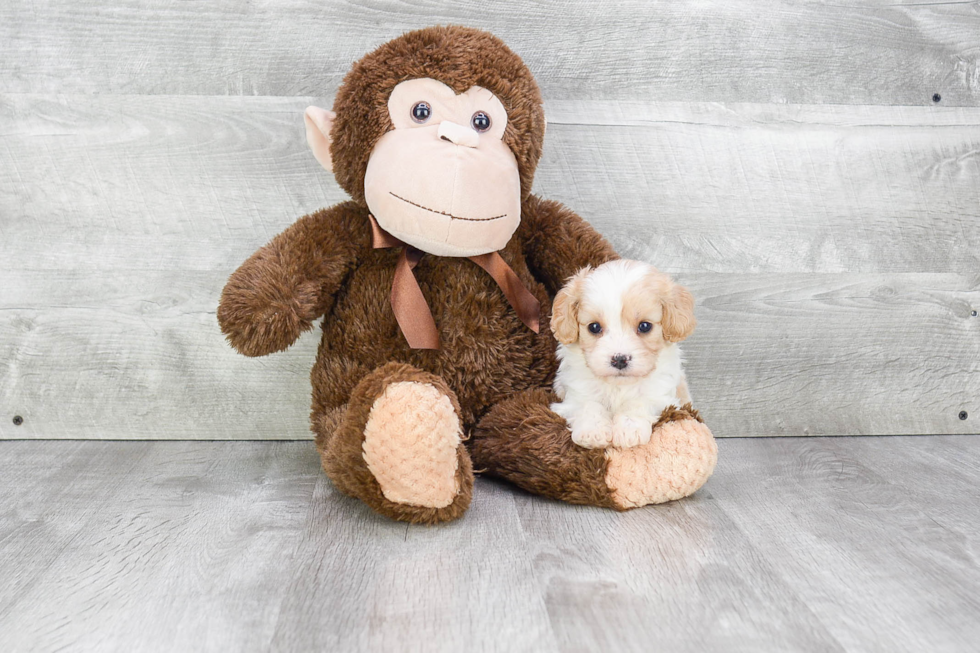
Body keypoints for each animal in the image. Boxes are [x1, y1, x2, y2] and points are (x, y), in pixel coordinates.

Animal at [218, 26, 716, 524]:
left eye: (482, 120)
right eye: (420, 111)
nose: (458, 141)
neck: (448, 255)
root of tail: (472, 444)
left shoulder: (656, 385)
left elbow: (643, 400)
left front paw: (629, 434)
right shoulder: (575, 388)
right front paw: (595, 431)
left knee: (530, 431)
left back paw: (654, 456)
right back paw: (407, 427)